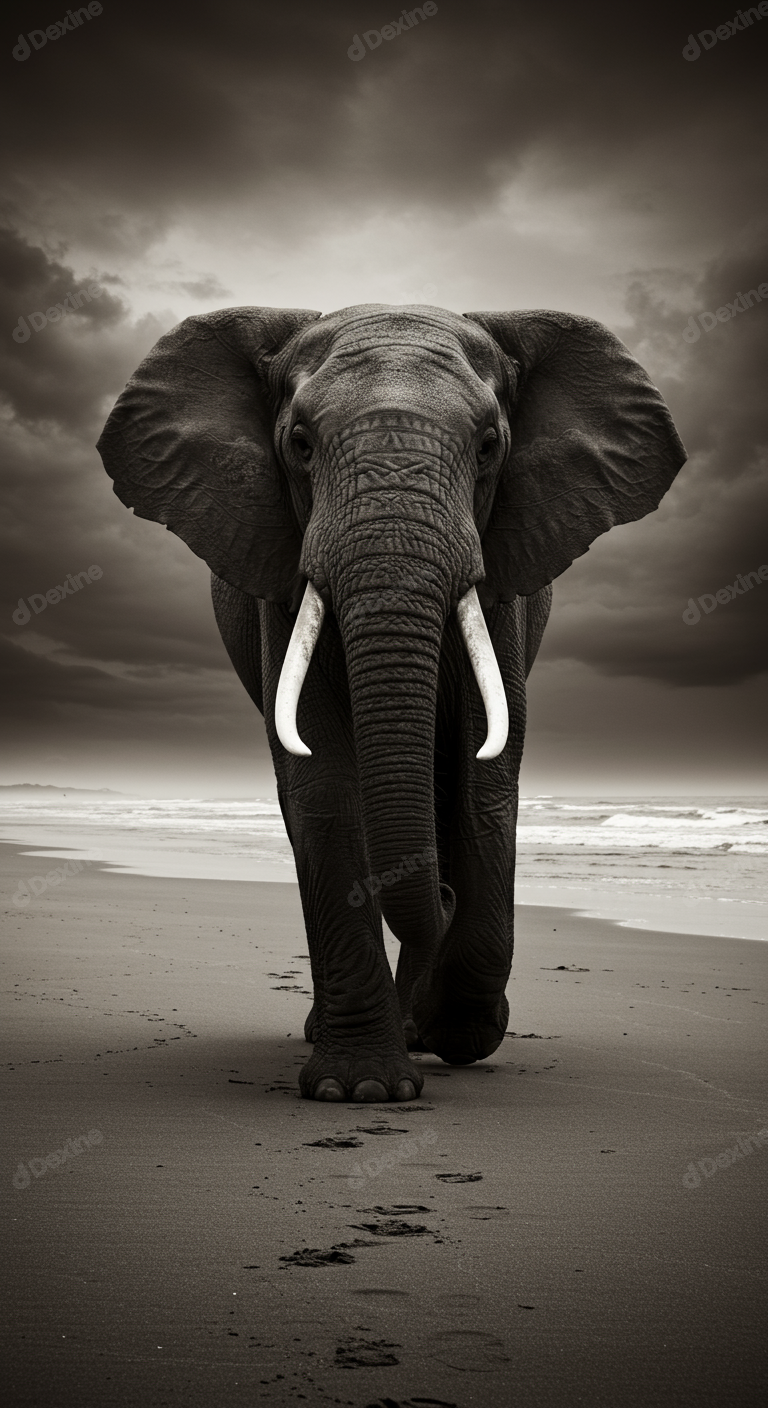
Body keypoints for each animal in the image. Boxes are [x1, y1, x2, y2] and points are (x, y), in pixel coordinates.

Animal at [97, 302, 686, 1103]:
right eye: (300, 444)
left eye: (490, 445)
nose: (441, 895)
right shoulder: (281, 573)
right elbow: (324, 784)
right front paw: (361, 1089)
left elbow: (484, 780)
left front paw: (460, 1035)